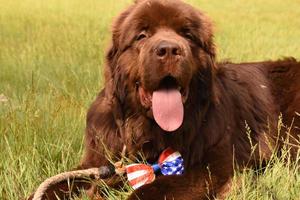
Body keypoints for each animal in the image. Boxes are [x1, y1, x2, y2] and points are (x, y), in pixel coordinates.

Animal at [28, 0, 300, 200]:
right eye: (141, 35)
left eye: (187, 34)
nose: (169, 49)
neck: (144, 130)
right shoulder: (98, 161)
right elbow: (60, 182)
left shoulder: (212, 166)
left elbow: (149, 191)